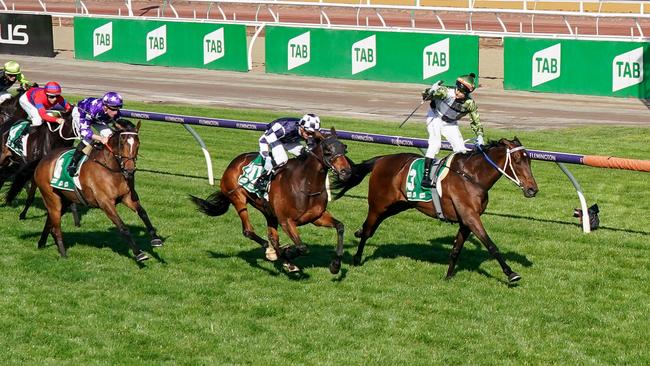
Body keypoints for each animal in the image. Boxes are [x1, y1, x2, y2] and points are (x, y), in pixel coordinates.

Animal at [6, 118, 162, 262]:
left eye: (137, 144)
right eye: (123, 143)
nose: (129, 170)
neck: (112, 170)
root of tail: (43, 159)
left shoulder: (127, 197)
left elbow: (143, 213)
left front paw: (155, 239)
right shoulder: (105, 203)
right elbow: (123, 227)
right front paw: (139, 253)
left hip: (65, 200)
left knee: (50, 220)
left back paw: (42, 243)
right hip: (51, 197)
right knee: (55, 225)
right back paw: (63, 253)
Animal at [189, 129, 350, 274]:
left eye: (345, 148)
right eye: (328, 150)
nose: (346, 172)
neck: (306, 184)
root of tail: (235, 161)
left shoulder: (317, 217)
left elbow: (340, 226)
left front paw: (335, 265)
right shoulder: (286, 221)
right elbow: (302, 248)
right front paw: (288, 253)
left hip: (269, 212)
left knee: (272, 237)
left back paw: (282, 258)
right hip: (238, 199)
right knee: (249, 231)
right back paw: (272, 252)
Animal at [332, 138, 540, 284]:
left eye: (529, 160)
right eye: (517, 160)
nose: (533, 189)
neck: (472, 176)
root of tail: (382, 159)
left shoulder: (466, 221)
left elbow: (456, 249)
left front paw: (448, 276)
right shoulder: (471, 217)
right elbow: (491, 245)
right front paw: (511, 273)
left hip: (398, 205)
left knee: (369, 228)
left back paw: (358, 234)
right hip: (378, 204)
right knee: (369, 229)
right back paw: (357, 258)